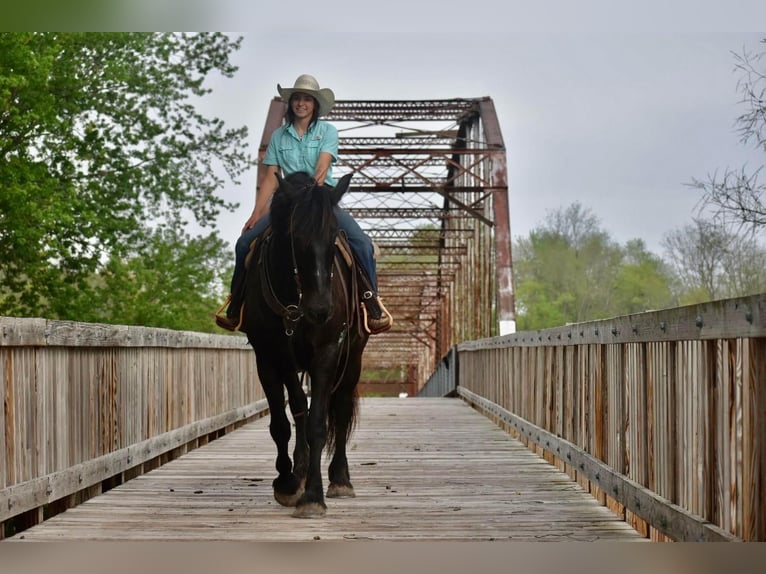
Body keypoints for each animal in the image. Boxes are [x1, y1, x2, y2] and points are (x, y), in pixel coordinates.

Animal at [242, 171, 370, 520]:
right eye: (295, 236)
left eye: (334, 237)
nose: (321, 309)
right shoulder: (269, 356)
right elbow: (284, 422)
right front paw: (288, 482)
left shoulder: (327, 351)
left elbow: (317, 423)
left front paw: (313, 496)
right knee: (298, 410)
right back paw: (298, 473)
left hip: (353, 358)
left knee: (340, 410)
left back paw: (340, 479)